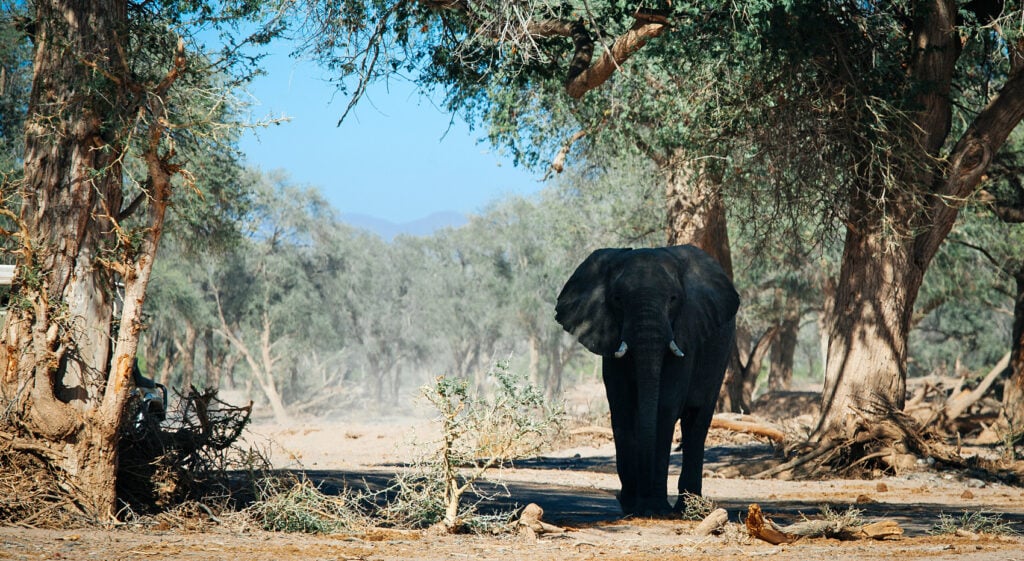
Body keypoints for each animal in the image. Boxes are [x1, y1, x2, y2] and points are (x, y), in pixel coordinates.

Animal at [555, 245, 739, 516]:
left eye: (673, 299)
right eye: (617, 300)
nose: (621, 498)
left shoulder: (685, 334)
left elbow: (665, 405)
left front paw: (655, 508)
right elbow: (620, 404)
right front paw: (633, 506)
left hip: (721, 354)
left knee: (697, 419)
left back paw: (688, 510)